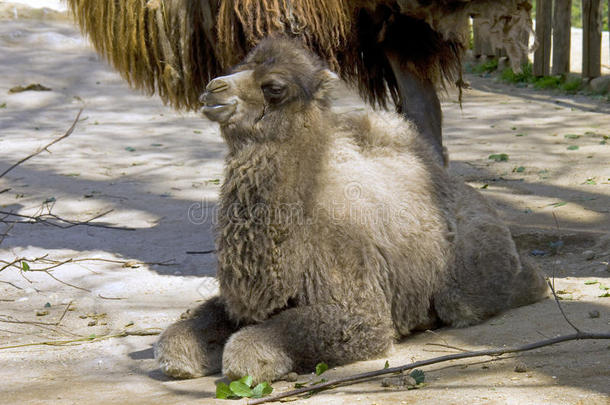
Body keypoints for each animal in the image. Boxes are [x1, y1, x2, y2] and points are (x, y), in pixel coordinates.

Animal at [153, 38, 548, 382]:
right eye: (237, 68)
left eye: (274, 86)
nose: (213, 89)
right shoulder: (243, 303)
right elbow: (177, 337)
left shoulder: (361, 313)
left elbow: (252, 346)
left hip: (470, 275)